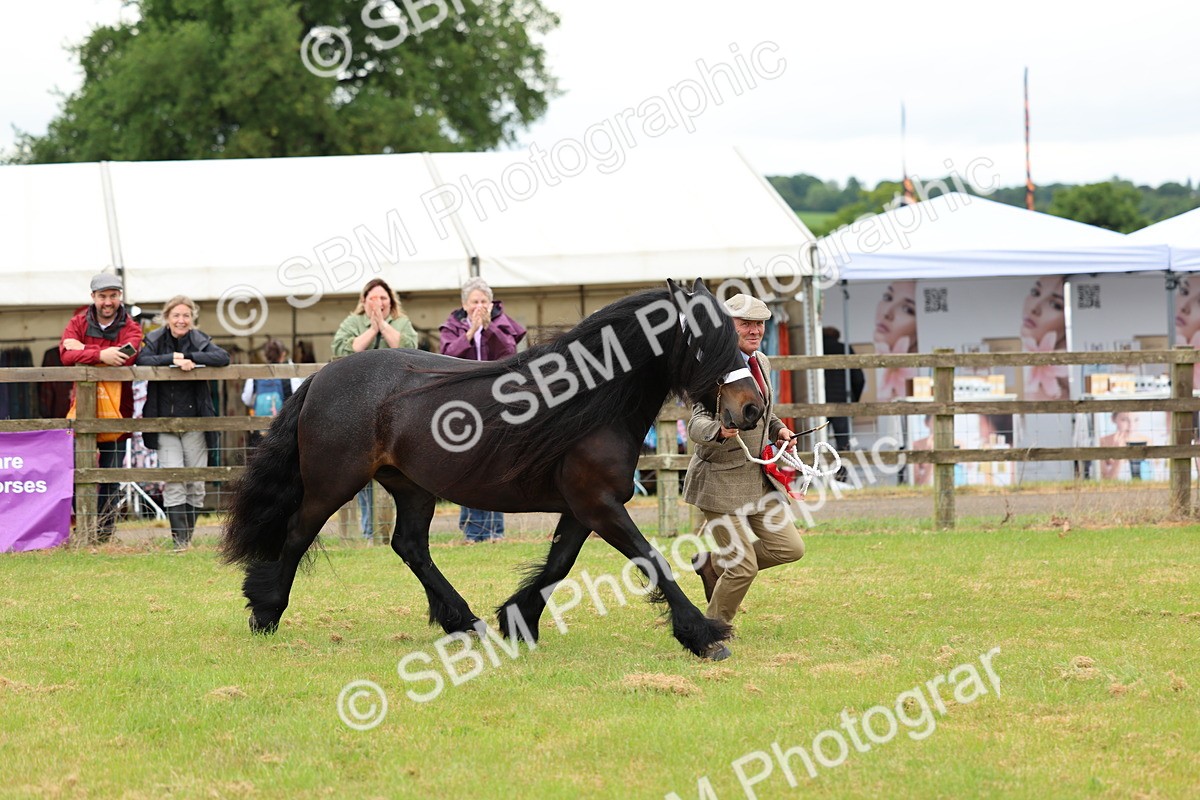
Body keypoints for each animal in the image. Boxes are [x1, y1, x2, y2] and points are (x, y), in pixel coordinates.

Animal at [220, 279, 765, 658]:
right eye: (703, 343)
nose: (752, 409)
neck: (591, 401)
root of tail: (320, 377)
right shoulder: (598, 504)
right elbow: (651, 560)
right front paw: (704, 635)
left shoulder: (583, 507)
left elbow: (558, 564)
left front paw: (518, 621)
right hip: (332, 483)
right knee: (297, 533)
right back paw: (266, 612)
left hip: (413, 487)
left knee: (410, 546)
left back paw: (464, 621)